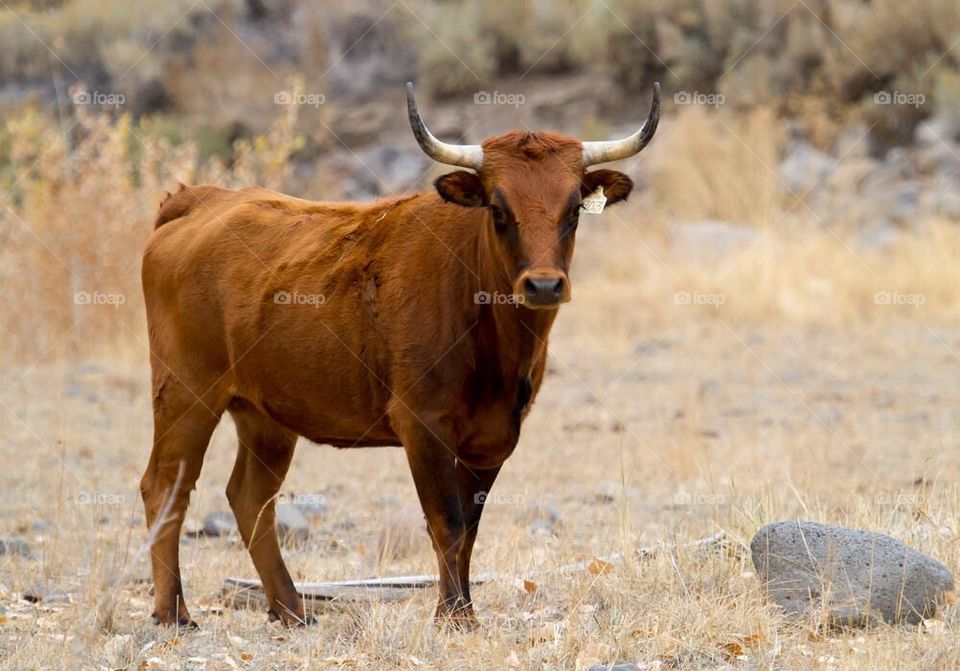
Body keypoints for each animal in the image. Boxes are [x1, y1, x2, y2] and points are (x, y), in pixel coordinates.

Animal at [139, 81, 660, 629]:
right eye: (498, 209)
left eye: (574, 209)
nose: (542, 285)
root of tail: (201, 200)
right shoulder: (422, 425)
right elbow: (445, 522)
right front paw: (453, 615)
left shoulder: (492, 439)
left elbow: (469, 529)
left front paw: (462, 610)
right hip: (185, 392)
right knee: (165, 487)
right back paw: (173, 612)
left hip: (264, 416)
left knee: (250, 497)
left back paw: (291, 609)